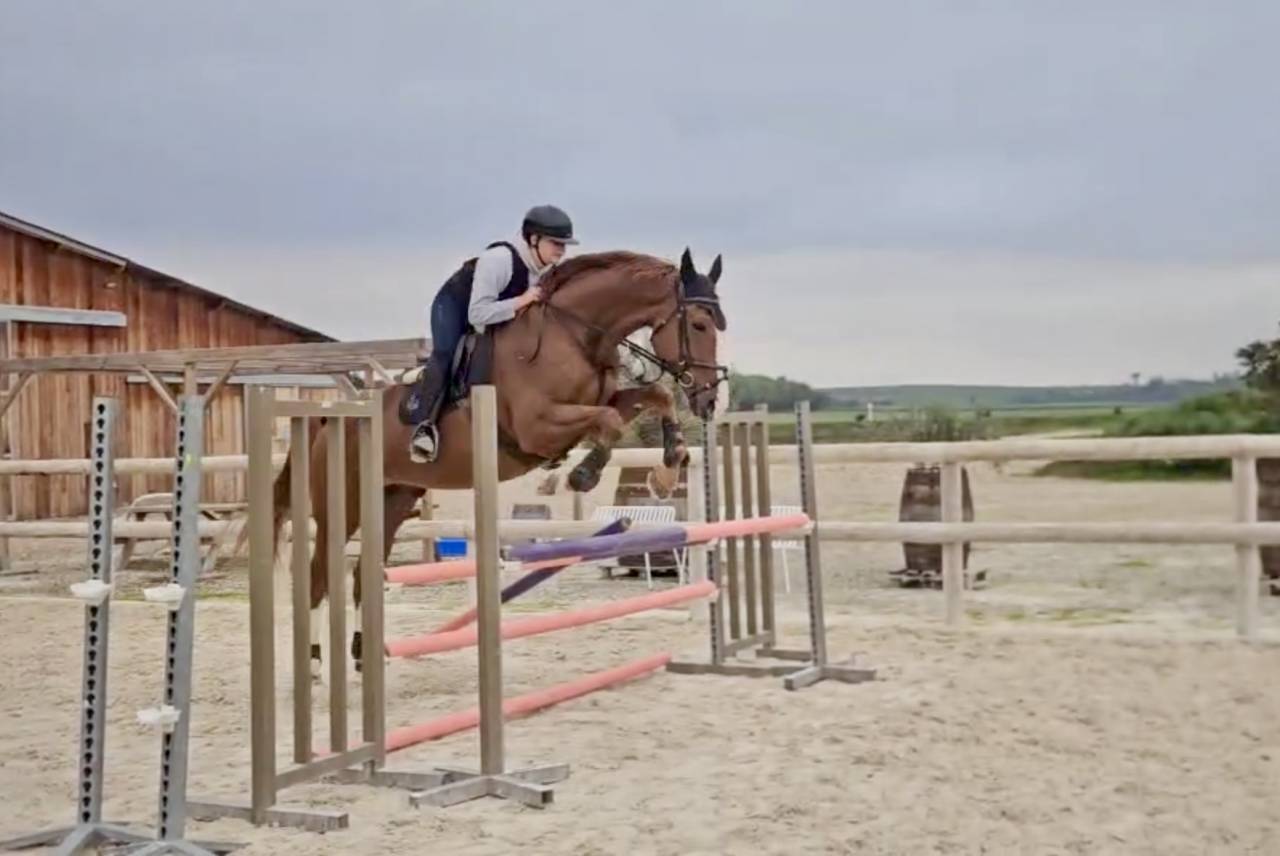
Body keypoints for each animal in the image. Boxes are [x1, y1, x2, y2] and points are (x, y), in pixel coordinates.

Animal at [271, 248, 729, 672]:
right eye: (700, 325)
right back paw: (315, 662)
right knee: (318, 576)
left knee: (363, 576)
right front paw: (580, 474)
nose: (710, 398)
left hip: (392, 500)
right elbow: (611, 422)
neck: (575, 335)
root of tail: (329, 417)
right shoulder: (537, 426)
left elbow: (655, 396)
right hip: (342, 507)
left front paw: (666, 470)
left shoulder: (601, 400)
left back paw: (365, 655)